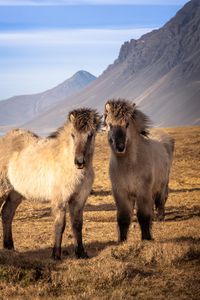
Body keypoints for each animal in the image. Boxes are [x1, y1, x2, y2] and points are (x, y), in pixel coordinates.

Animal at [0, 109, 100, 258]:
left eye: (90, 135)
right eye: (73, 135)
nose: (79, 162)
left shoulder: (79, 199)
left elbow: (77, 224)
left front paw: (81, 253)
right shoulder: (60, 199)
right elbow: (60, 224)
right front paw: (56, 254)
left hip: (15, 192)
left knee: (7, 213)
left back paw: (9, 246)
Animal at [104, 99, 174, 243]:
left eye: (127, 124)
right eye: (110, 125)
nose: (120, 147)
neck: (129, 166)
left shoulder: (142, 190)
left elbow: (143, 215)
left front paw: (146, 238)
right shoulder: (120, 192)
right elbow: (123, 217)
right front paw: (122, 240)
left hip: (162, 184)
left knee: (161, 200)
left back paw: (160, 217)